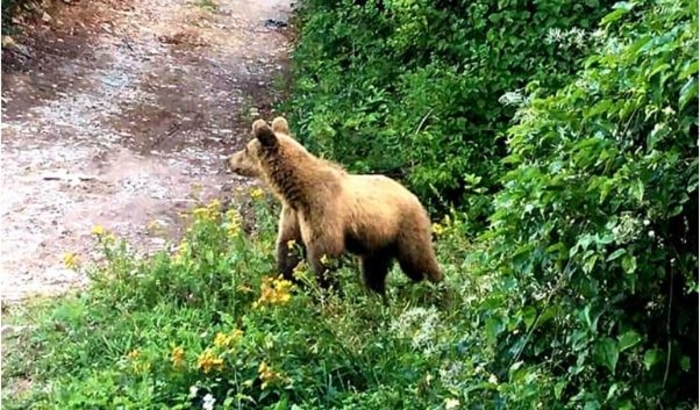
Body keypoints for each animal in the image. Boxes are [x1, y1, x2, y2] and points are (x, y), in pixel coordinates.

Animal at [226, 116, 442, 294]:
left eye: (245, 149)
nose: (230, 160)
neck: (297, 190)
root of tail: (414, 196)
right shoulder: (294, 214)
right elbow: (288, 249)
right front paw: (287, 281)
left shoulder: (322, 210)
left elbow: (325, 256)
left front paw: (327, 292)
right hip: (377, 239)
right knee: (373, 271)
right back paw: (377, 297)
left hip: (404, 227)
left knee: (419, 263)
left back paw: (440, 292)